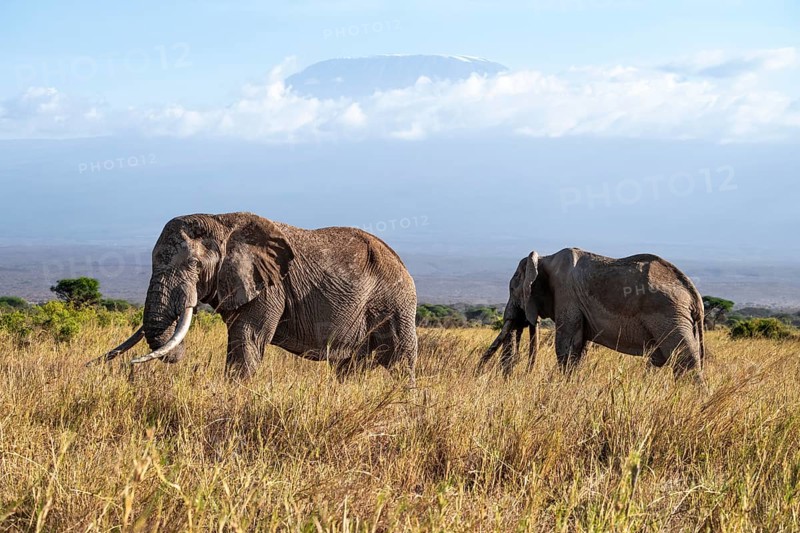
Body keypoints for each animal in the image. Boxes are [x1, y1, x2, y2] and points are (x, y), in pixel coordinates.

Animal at [90, 212, 418, 383]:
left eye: (194, 264)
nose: (132, 366)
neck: (221, 222)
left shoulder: (269, 285)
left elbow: (248, 335)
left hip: (396, 303)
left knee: (401, 362)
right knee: (350, 369)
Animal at [478, 248, 705, 377]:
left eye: (512, 288)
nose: (478, 373)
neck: (545, 259)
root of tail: (695, 296)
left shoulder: (567, 294)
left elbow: (566, 345)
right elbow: (579, 347)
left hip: (669, 314)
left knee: (684, 359)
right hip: (680, 318)